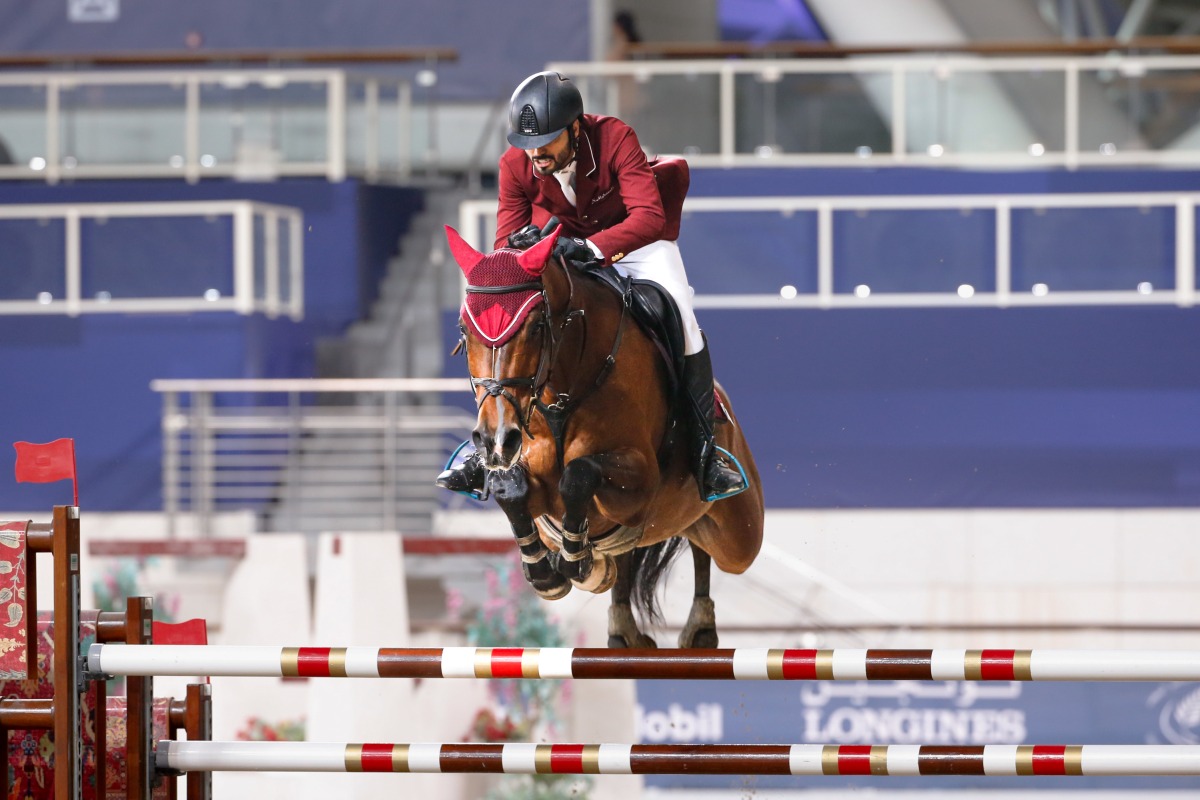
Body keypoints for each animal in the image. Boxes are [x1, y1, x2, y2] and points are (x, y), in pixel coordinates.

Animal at [446, 225, 763, 652]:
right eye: (465, 331)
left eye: (536, 326)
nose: (495, 439)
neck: (562, 388)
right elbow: (509, 487)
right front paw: (546, 571)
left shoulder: (641, 483)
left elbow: (579, 474)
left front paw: (574, 560)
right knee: (630, 558)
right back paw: (623, 626)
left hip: (739, 536)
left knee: (709, 551)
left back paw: (700, 625)